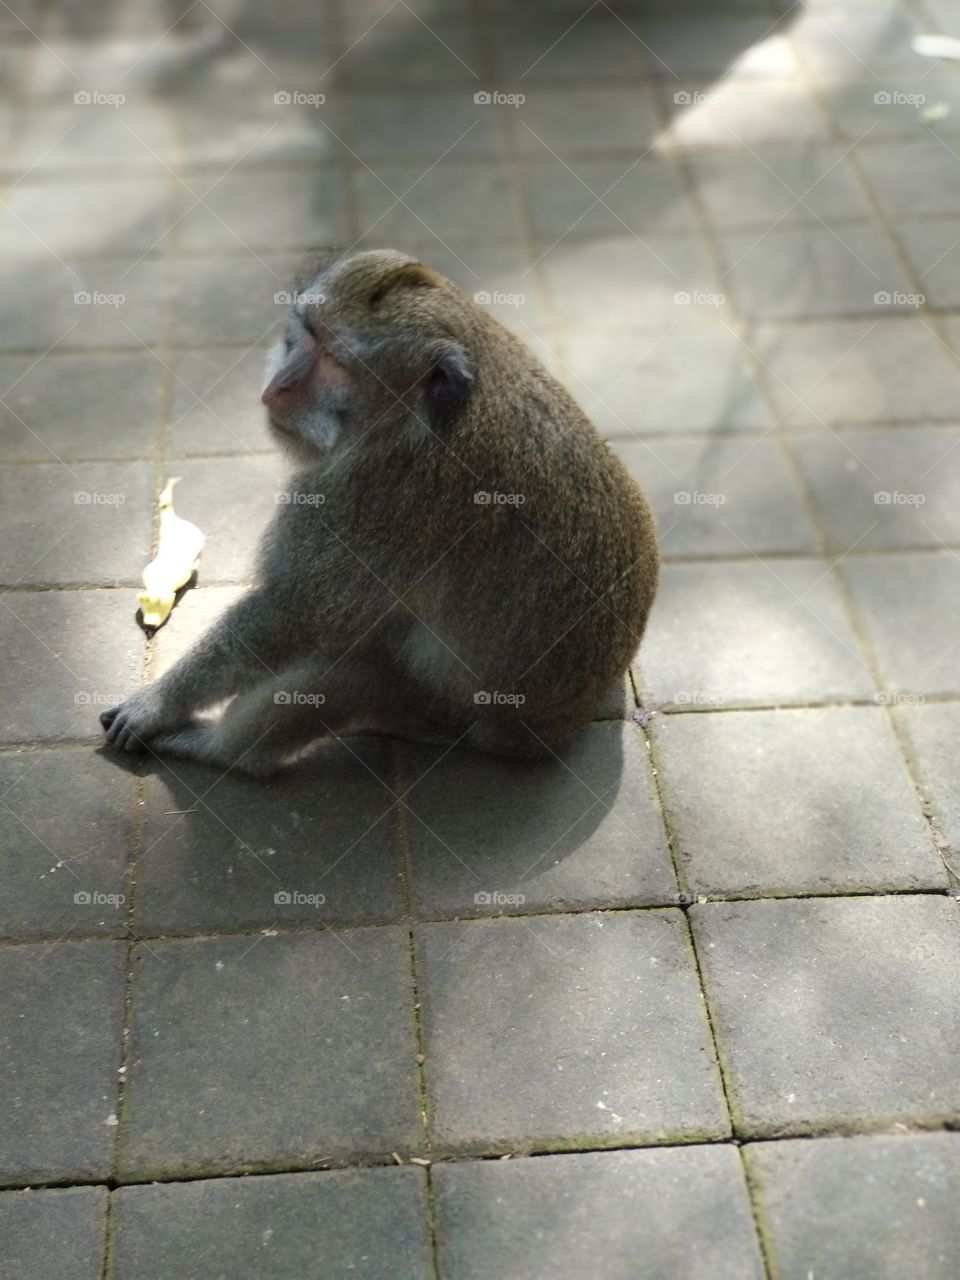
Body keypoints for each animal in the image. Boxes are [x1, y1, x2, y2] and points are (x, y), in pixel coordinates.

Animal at [100, 248, 659, 776]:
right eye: (307, 334)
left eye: (334, 360)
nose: (277, 385)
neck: (416, 417)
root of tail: (544, 736)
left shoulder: (358, 500)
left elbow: (293, 615)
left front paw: (158, 704)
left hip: (442, 712)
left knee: (352, 671)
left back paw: (229, 752)